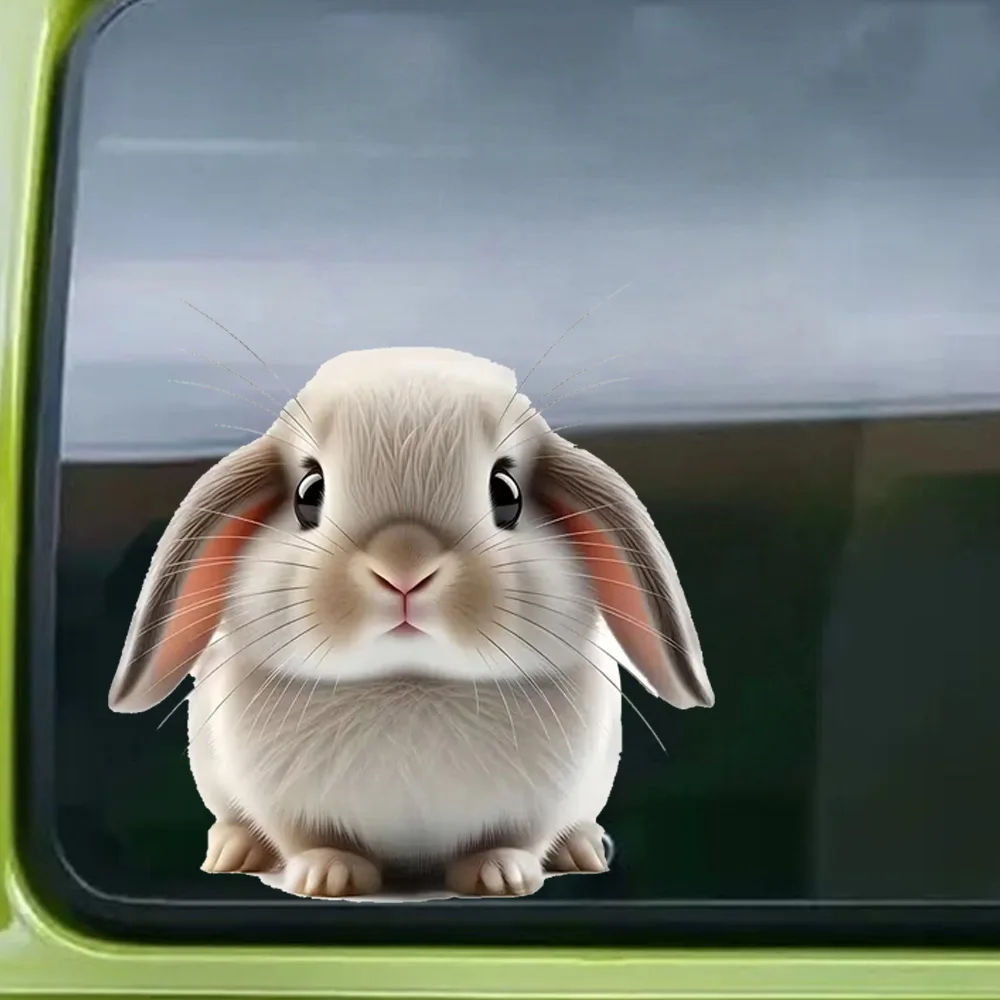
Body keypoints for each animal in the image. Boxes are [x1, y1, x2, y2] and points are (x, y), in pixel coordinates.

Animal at [108, 346, 714, 899]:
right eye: (308, 493)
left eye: (507, 494)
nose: (404, 567)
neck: (409, 684)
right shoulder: (280, 801)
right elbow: (309, 838)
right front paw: (328, 875)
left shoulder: (542, 802)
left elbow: (514, 838)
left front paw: (499, 874)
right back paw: (233, 850)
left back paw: (582, 849)